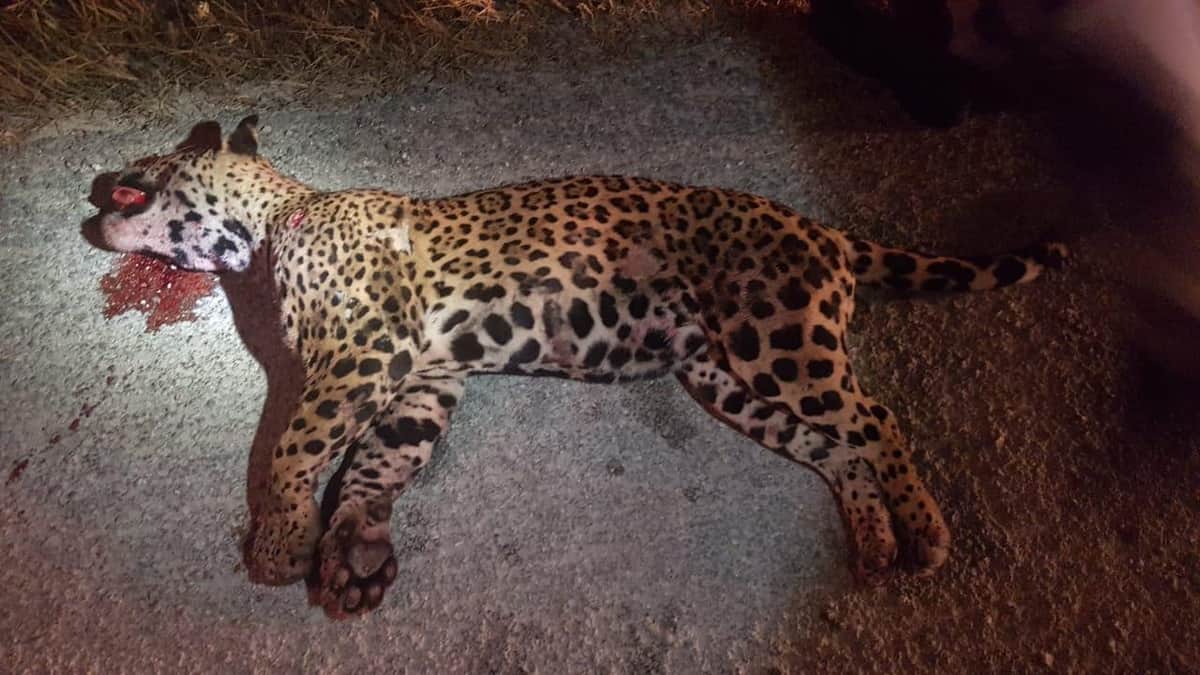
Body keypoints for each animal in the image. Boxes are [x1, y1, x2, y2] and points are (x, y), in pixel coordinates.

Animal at [94, 115, 1067, 619]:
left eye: (150, 158)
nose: (100, 177)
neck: (274, 222)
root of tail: (821, 228)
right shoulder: (424, 377)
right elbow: (379, 461)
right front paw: (355, 547)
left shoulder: (366, 348)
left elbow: (296, 445)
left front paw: (279, 540)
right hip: (727, 378)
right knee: (837, 446)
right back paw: (872, 540)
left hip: (779, 341)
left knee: (877, 421)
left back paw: (925, 531)